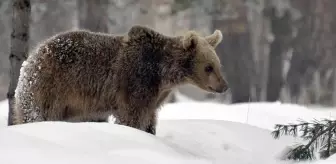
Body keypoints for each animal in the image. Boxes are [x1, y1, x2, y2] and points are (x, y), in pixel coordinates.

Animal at [12, 25, 228, 135]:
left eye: (218, 65)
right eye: (208, 67)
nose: (224, 86)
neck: (163, 73)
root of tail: (32, 56)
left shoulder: (155, 96)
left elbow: (149, 119)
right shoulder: (136, 82)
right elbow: (133, 116)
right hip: (51, 86)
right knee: (38, 113)